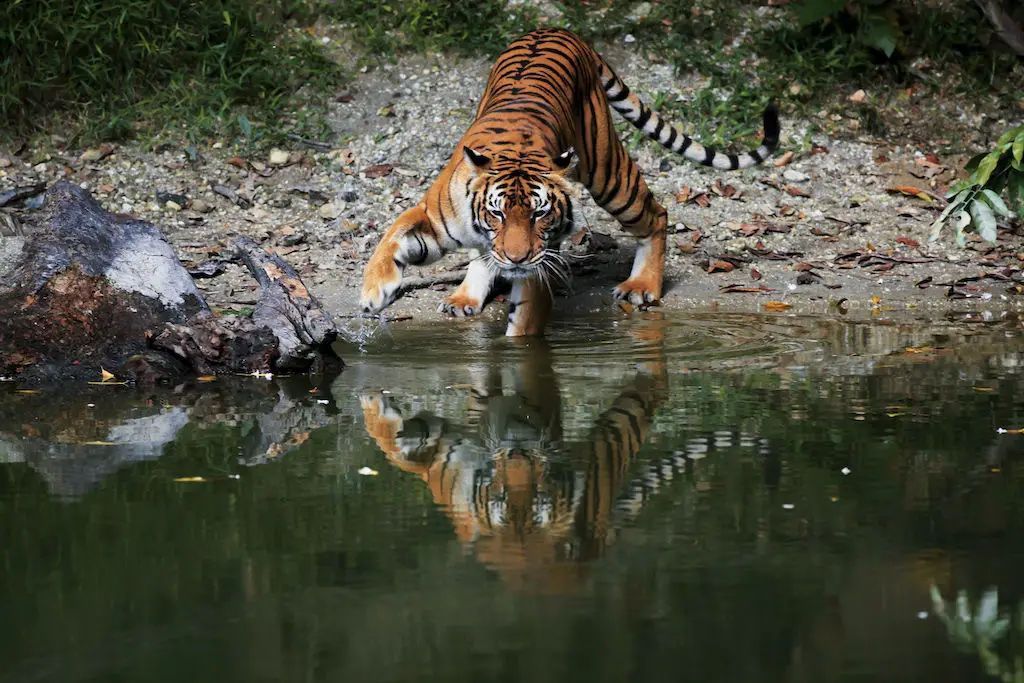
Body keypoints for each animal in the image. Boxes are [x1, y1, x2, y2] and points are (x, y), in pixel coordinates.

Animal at [356, 27, 778, 335]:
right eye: (496, 214)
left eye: (539, 215)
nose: (516, 258)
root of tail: (559, 29)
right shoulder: (435, 218)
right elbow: (392, 235)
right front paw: (375, 293)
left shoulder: (540, 263)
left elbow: (524, 329)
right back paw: (464, 297)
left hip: (609, 174)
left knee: (657, 214)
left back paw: (642, 286)